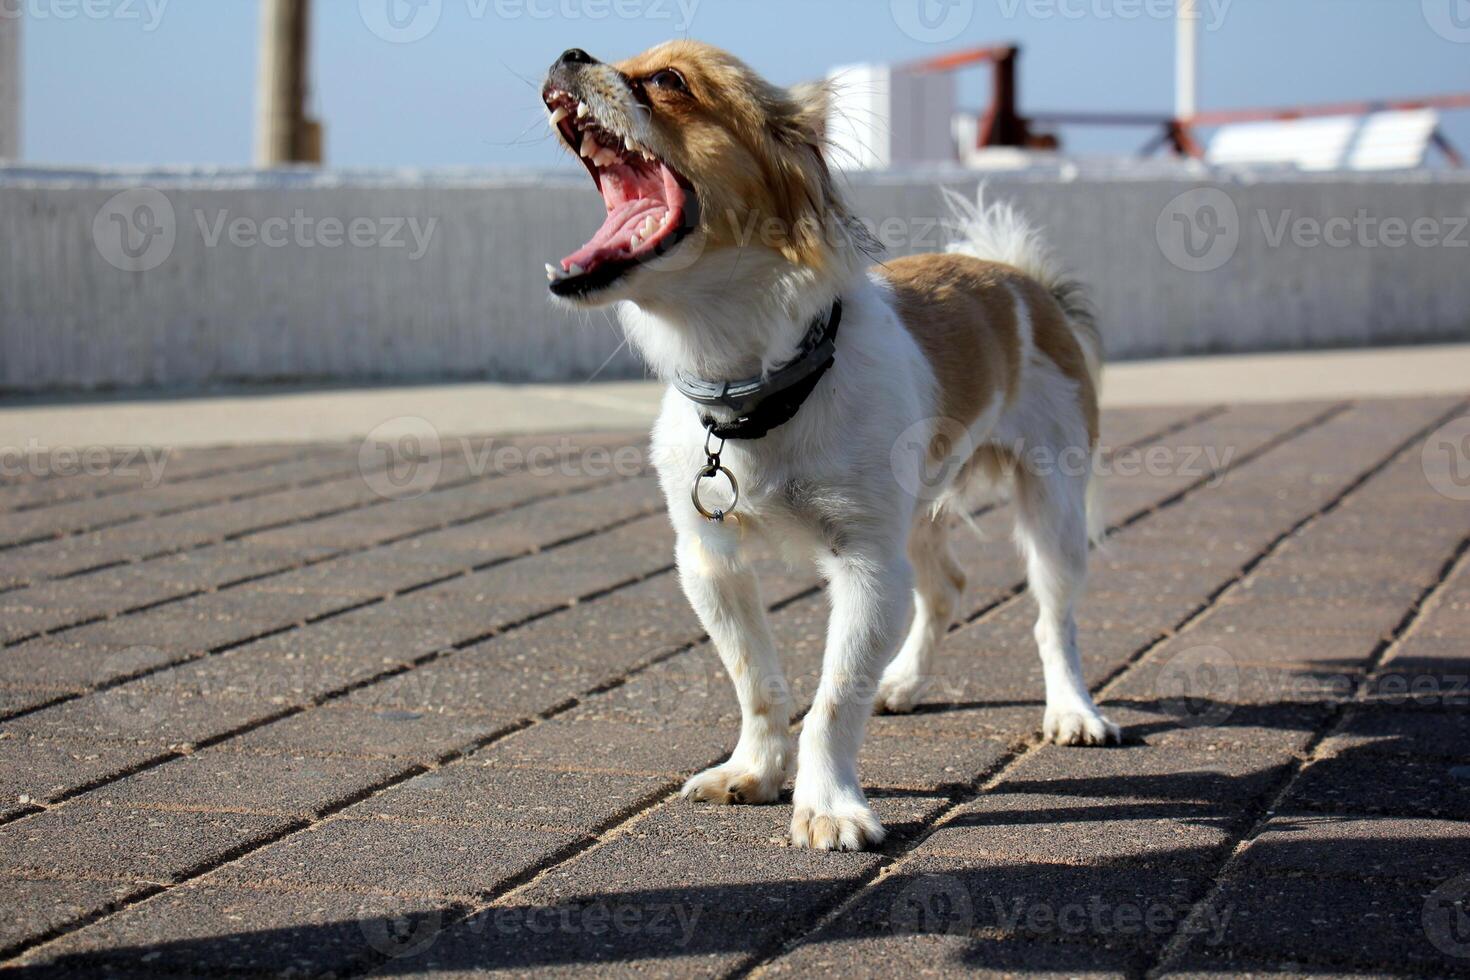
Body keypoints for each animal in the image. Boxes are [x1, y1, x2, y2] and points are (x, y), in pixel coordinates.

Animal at [546, 40, 1117, 852]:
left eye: (669, 81)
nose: (569, 53)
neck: (757, 391)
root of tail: (1020, 279)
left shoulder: (866, 567)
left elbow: (832, 700)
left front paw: (828, 806)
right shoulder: (709, 562)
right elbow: (757, 683)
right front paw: (754, 770)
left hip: (1053, 509)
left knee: (1052, 618)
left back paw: (1074, 711)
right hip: (919, 515)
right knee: (948, 588)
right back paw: (903, 682)